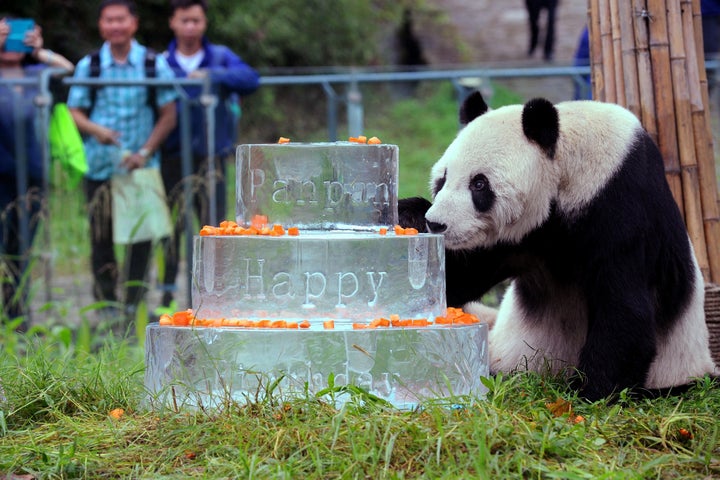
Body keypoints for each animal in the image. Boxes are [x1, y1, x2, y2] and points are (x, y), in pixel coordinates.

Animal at [400, 91, 720, 402]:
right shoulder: (519, 238)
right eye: (442, 179)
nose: (437, 224)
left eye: (479, 184)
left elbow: (625, 308)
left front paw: (587, 393)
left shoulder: (622, 207)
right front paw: (409, 215)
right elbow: (461, 279)